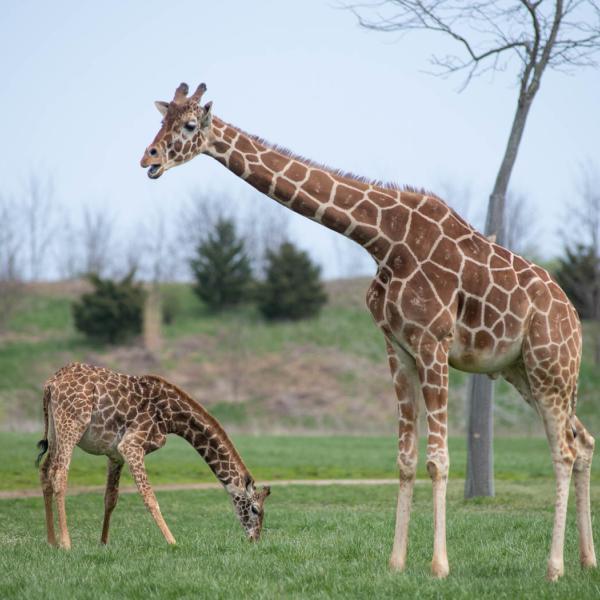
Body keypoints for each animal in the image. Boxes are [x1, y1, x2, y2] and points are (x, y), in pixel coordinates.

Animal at [37, 360, 270, 548]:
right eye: (255, 510)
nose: (255, 539)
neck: (172, 418)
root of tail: (50, 385)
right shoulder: (131, 445)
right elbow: (149, 496)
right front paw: (172, 541)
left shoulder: (115, 454)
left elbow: (110, 498)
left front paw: (103, 543)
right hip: (72, 425)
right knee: (59, 475)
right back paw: (66, 543)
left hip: (55, 431)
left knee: (45, 471)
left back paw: (51, 542)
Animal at [139, 82, 596, 580]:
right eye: (161, 121)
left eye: (188, 125)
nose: (148, 158)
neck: (383, 240)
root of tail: (573, 316)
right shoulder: (397, 347)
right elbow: (406, 459)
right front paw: (396, 562)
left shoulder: (433, 343)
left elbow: (438, 460)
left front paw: (439, 565)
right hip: (525, 372)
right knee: (582, 440)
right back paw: (586, 560)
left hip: (551, 366)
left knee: (564, 450)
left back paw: (555, 567)